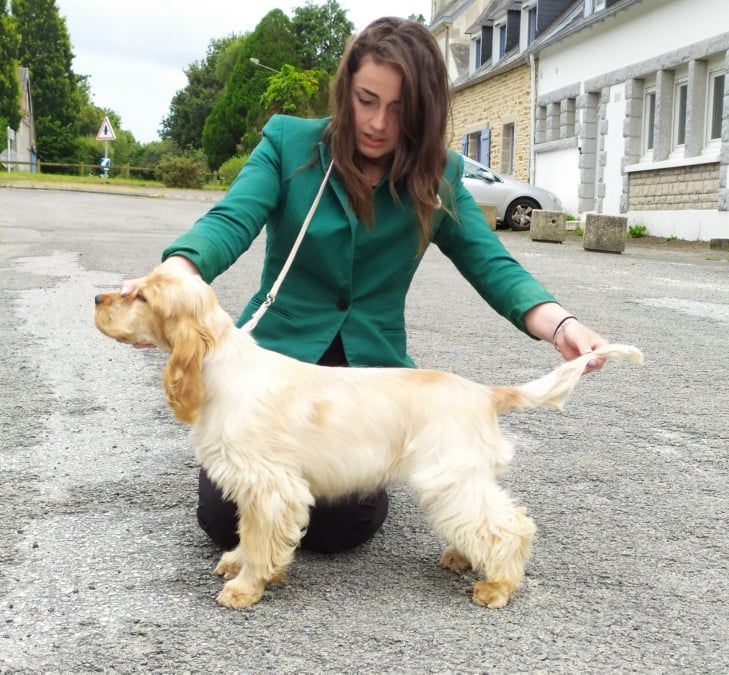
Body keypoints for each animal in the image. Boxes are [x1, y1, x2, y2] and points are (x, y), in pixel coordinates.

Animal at [94, 265, 643, 610]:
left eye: (141, 296)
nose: (96, 297)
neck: (218, 366)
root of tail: (485, 393)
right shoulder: (254, 485)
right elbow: (247, 536)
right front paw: (235, 564)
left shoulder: (271, 485)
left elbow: (260, 540)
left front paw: (246, 587)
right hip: (458, 479)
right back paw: (463, 558)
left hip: (447, 475)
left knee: (511, 526)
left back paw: (497, 586)